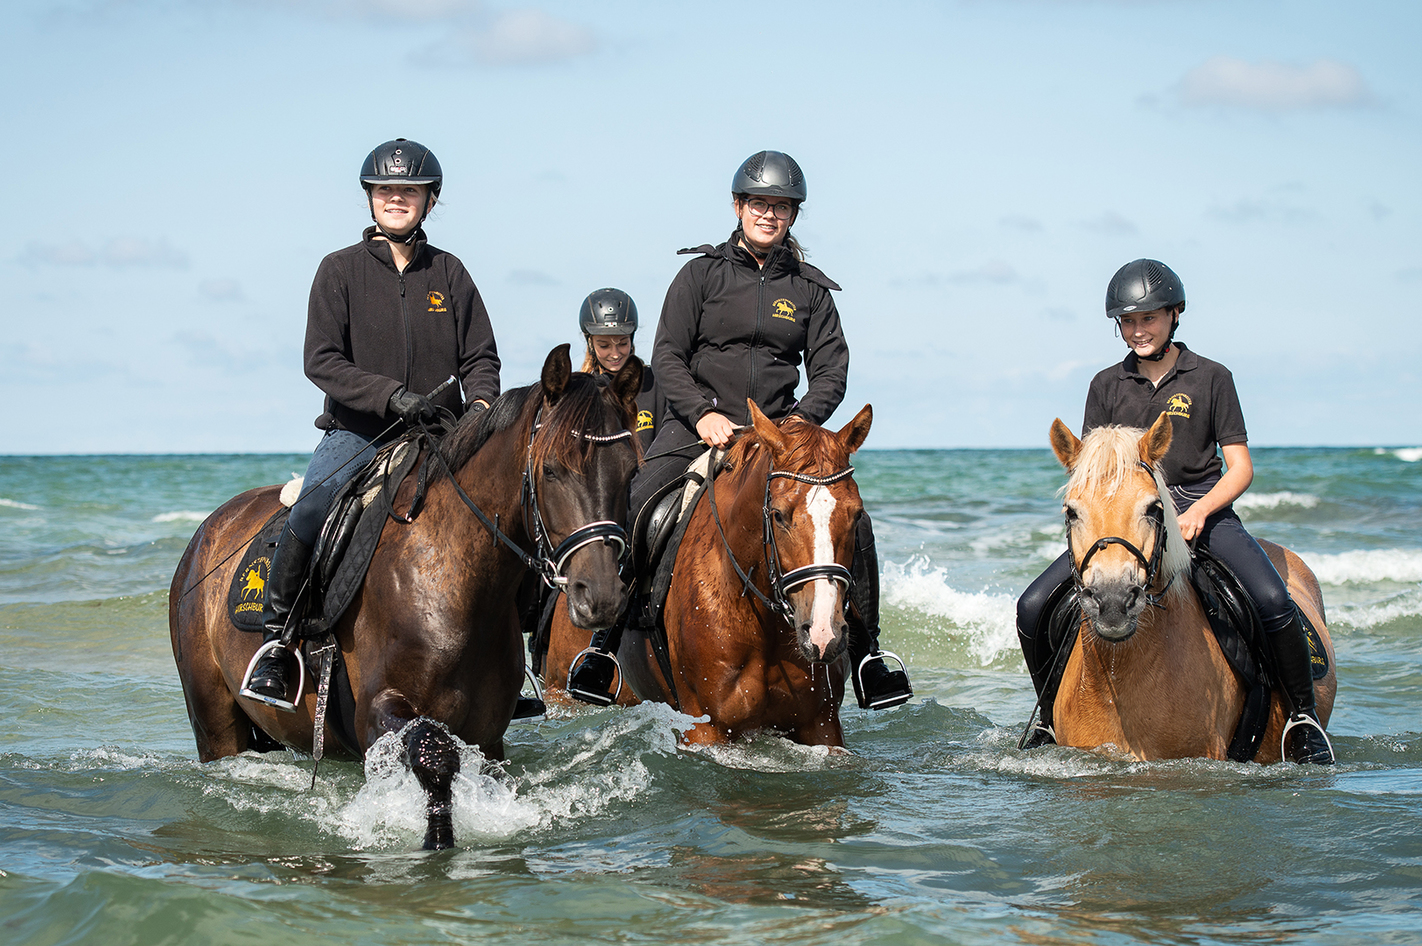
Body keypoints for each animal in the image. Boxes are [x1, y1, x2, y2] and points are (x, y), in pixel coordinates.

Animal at [169, 347, 642, 847]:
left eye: (631, 471)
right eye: (551, 470)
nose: (601, 595)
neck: (451, 579)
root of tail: (208, 531)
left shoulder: (489, 734)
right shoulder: (379, 713)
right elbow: (435, 757)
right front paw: (436, 842)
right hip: (215, 726)